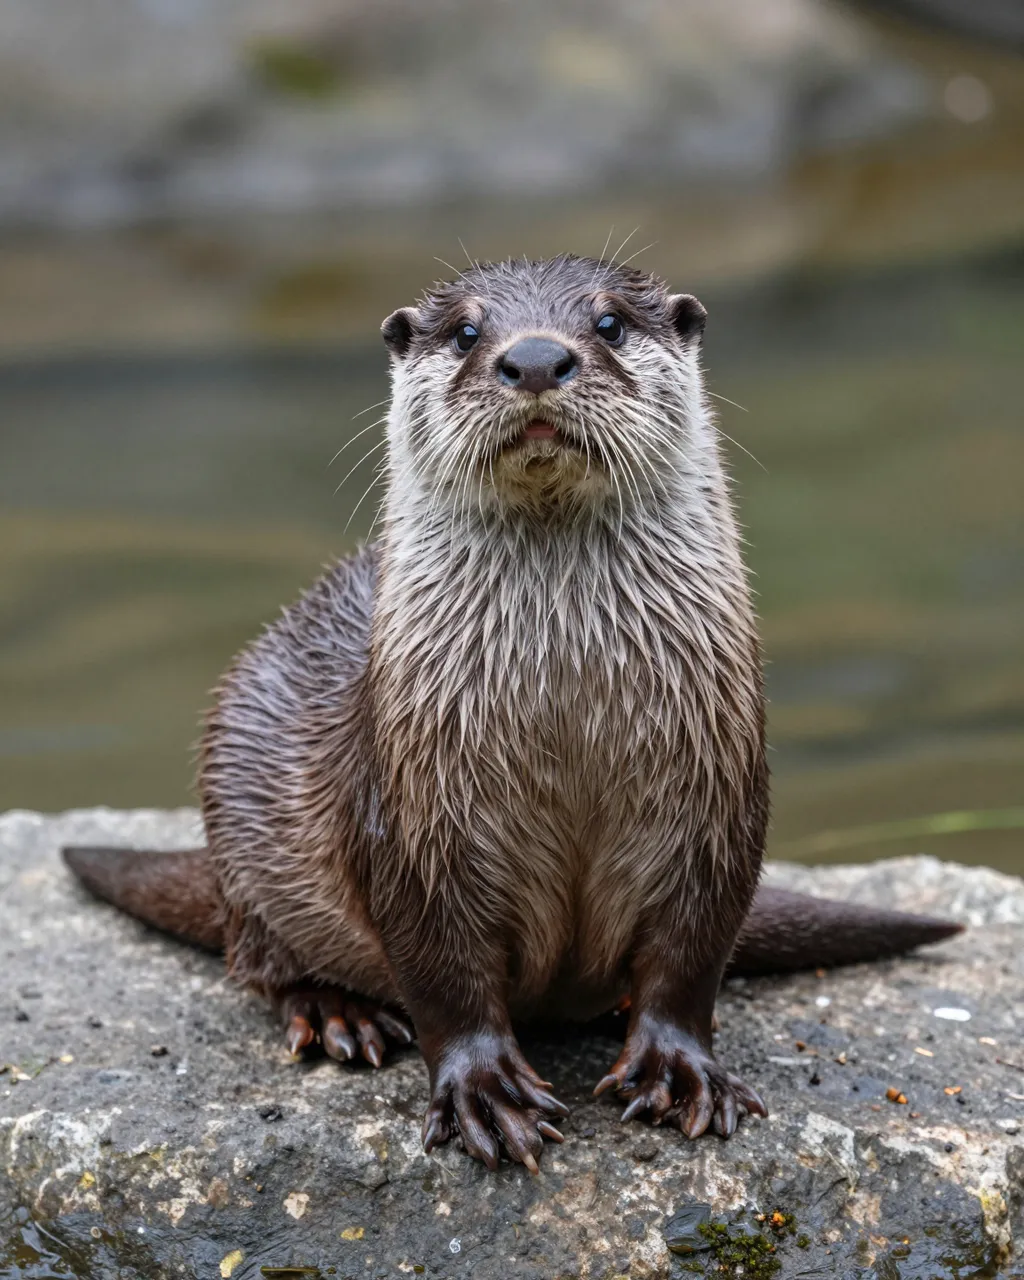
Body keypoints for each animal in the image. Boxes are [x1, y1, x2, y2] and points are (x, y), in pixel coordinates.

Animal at [64, 254, 961, 1173]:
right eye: (466, 331)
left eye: (609, 323)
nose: (533, 358)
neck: (565, 707)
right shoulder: (410, 820)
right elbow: (443, 975)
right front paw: (484, 1091)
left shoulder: (718, 798)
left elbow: (692, 954)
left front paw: (679, 1068)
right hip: (238, 802)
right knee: (259, 958)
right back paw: (337, 1013)